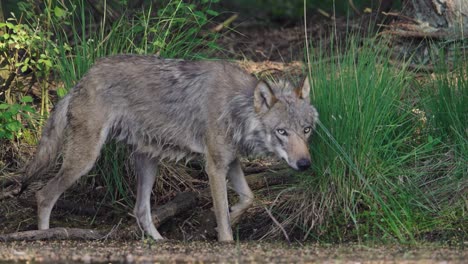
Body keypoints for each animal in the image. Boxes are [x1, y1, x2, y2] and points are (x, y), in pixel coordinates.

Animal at [22, 55, 318, 241]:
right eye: (282, 131)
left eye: (306, 130)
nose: (305, 164)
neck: (235, 106)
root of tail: (81, 81)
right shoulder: (214, 167)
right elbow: (223, 216)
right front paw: (225, 235)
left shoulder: (231, 162)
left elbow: (248, 198)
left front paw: (233, 215)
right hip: (85, 160)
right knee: (43, 195)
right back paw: (43, 236)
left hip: (148, 162)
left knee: (141, 211)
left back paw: (160, 241)